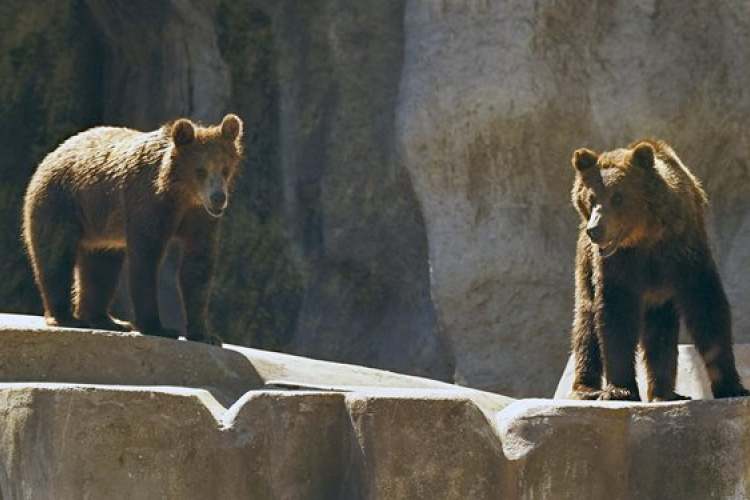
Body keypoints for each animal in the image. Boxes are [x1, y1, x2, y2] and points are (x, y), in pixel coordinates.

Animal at [22, 114, 244, 346]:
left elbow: (198, 265)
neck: (180, 195)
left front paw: (205, 334)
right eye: (200, 170)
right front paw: (158, 327)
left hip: (100, 228)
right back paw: (66, 317)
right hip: (62, 202)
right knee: (56, 255)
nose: (218, 197)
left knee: (102, 267)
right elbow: (145, 258)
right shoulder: (147, 204)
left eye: (225, 169)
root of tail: (52, 154)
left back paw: (106, 320)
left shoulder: (200, 218)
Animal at [572, 139, 748, 400]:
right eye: (591, 197)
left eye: (618, 197)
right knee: (586, 320)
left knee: (661, 330)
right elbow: (615, 316)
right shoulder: (617, 265)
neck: (645, 235)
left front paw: (731, 386)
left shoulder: (683, 252)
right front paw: (620, 389)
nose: (595, 229)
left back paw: (666, 393)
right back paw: (587, 389)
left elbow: (707, 306)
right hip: (586, 265)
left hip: (660, 294)